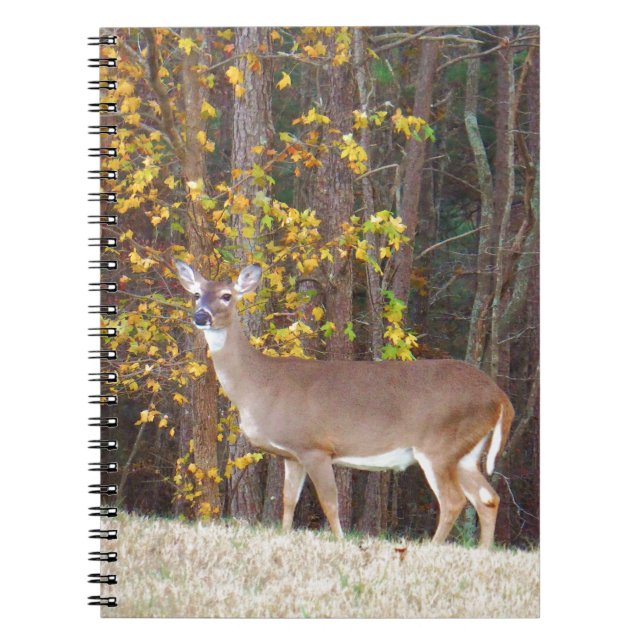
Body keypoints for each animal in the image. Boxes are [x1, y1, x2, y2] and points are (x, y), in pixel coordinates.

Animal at [174, 261, 514, 548]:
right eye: (196, 294)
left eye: (227, 295)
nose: (201, 316)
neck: (260, 385)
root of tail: (500, 397)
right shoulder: (292, 454)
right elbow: (288, 501)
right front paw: (286, 535)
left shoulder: (315, 446)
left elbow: (330, 501)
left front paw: (339, 541)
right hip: (465, 452)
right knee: (488, 497)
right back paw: (483, 551)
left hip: (439, 445)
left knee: (454, 500)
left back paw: (433, 547)